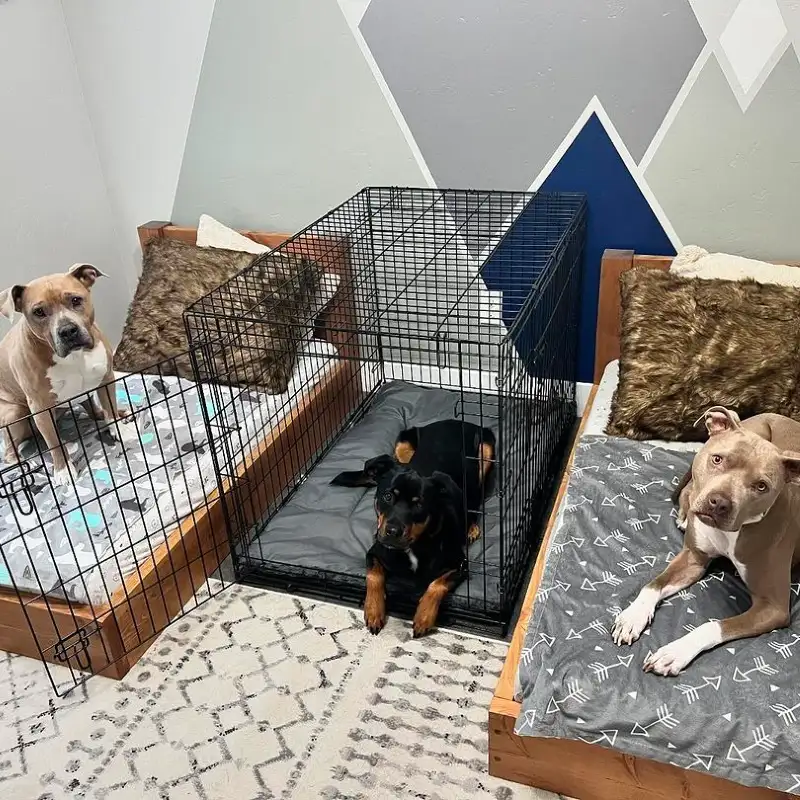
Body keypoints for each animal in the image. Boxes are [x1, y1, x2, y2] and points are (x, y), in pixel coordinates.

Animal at [0, 264, 128, 486]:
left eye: (75, 300)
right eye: (39, 312)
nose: (68, 330)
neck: (74, 356)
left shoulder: (106, 379)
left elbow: (110, 408)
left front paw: (120, 428)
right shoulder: (40, 408)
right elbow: (54, 443)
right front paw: (63, 470)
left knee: (93, 407)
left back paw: (105, 414)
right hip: (14, 413)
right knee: (9, 452)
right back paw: (27, 466)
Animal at [330, 419, 495, 637]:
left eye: (418, 504)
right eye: (387, 496)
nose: (392, 532)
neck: (412, 546)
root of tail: (455, 420)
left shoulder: (460, 565)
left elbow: (437, 584)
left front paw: (424, 617)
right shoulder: (374, 552)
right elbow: (373, 575)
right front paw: (373, 610)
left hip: (486, 453)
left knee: (477, 495)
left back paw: (472, 527)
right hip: (402, 444)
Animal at [612, 405, 800, 675]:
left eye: (761, 486)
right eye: (718, 459)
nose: (719, 503)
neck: (731, 533)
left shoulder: (773, 607)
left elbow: (713, 625)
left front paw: (675, 652)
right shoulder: (693, 558)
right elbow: (654, 584)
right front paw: (633, 616)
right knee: (689, 489)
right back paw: (683, 516)